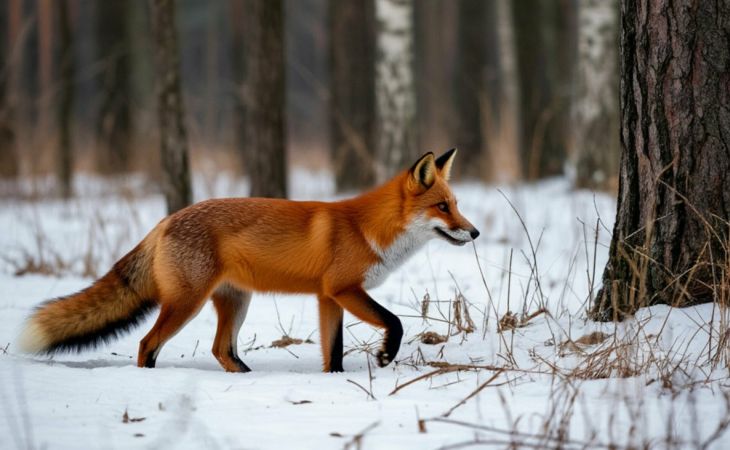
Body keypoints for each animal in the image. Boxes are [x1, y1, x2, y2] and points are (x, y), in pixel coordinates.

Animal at [18, 149, 479, 373]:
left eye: (457, 205)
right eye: (442, 207)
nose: (474, 232)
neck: (369, 228)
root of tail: (165, 220)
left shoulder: (327, 298)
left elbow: (333, 351)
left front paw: (335, 382)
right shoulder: (344, 289)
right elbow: (395, 322)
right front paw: (385, 356)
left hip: (235, 302)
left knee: (222, 350)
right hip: (186, 304)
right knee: (148, 343)